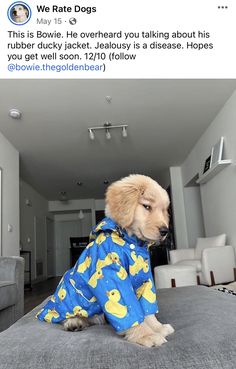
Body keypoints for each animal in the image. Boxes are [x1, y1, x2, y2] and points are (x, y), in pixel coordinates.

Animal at [36, 174, 173, 346]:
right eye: (147, 206)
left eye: (164, 210)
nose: (165, 231)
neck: (130, 242)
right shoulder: (112, 275)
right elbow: (132, 312)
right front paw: (145, 335)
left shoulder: (144, 278)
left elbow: (147, 310)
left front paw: (157, 327)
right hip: (68, 294)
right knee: (61, 316)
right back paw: (74, 322)